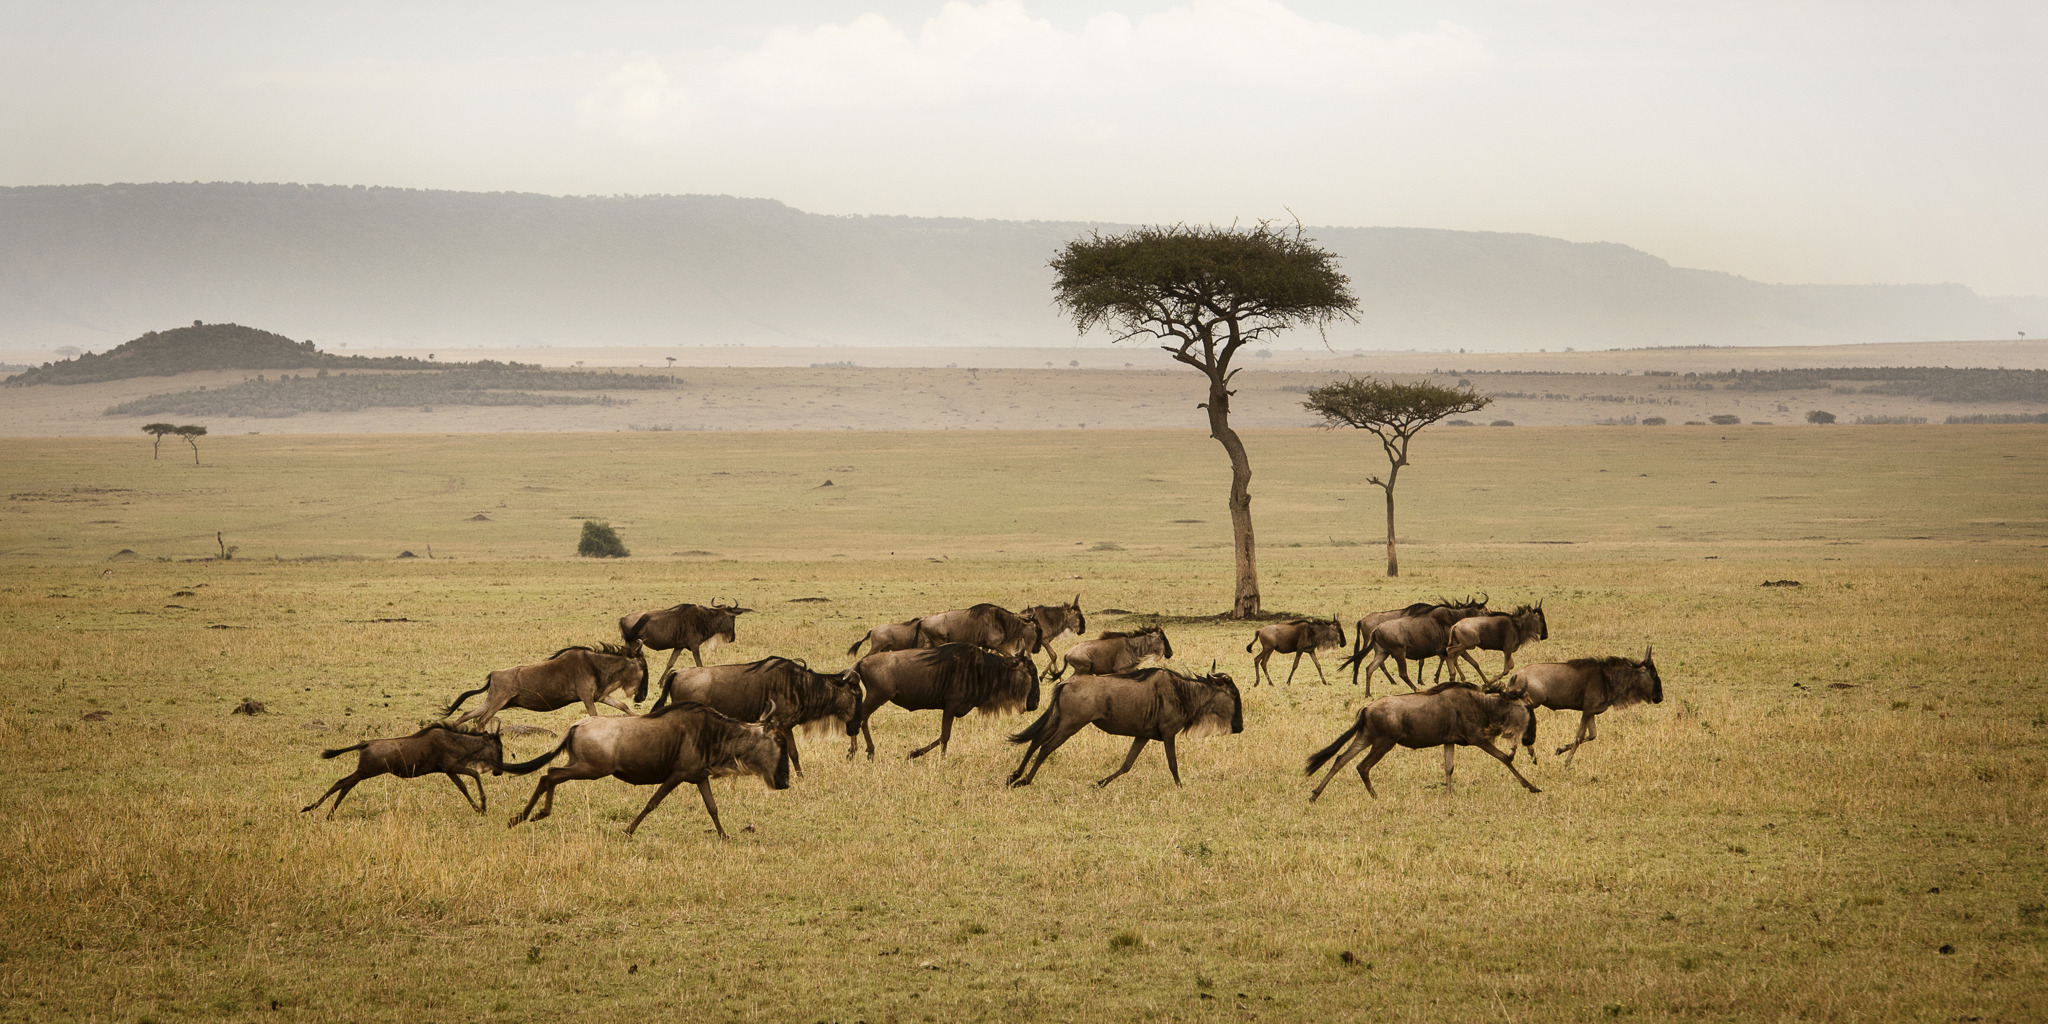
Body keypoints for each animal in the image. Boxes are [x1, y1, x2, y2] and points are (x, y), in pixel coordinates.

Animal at [301, 724, 505, 819]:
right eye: (499, 748)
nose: (499, 772)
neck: (456, 742)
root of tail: (365, 743)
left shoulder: (448, 770)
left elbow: (463, 787)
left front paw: (478, 808)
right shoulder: (451, 767)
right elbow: (475, 775)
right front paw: (483, 807)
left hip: (362, 773)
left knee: (345, 785)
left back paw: (328, 814)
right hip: (366, 771)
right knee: (342, 783)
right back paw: (312, 808)